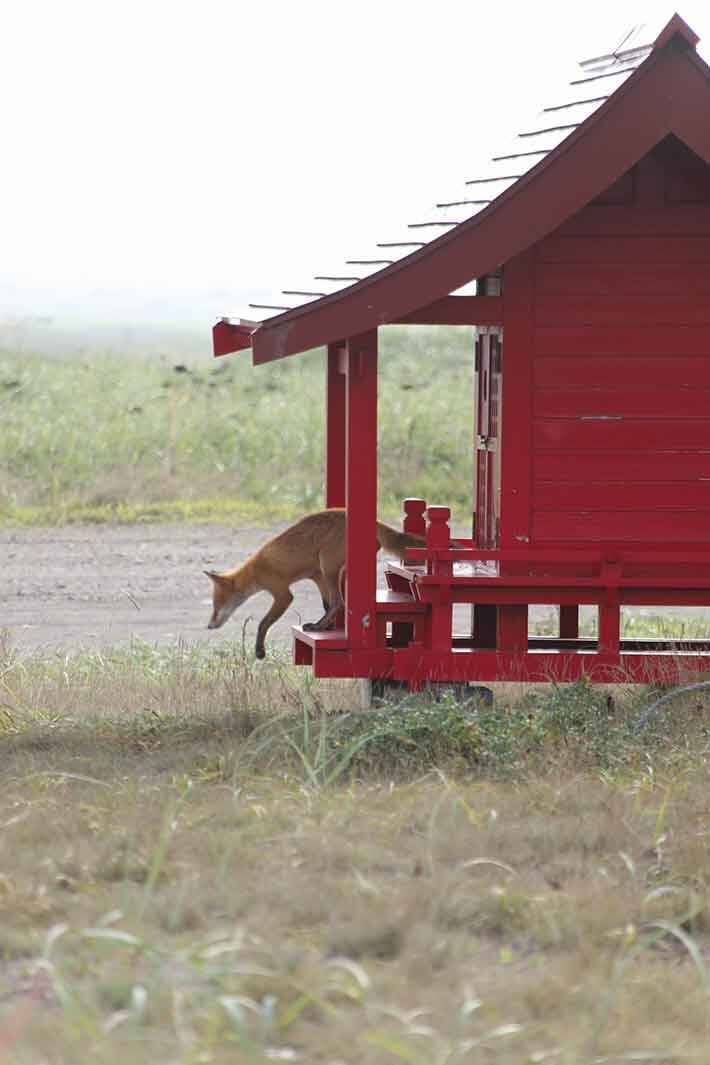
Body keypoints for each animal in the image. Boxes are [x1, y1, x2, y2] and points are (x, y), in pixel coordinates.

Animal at [205, 506, 427, 656]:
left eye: (216, 605)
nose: (208, 626)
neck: (255, 570)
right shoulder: (316, 576)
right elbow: (326, 605)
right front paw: (327, 627)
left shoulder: (282, 593)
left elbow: (263, 623)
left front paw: (259, 651)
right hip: (326, 571)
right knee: (337, 602)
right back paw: (320, 626)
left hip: (327, 564)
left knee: (340, 602)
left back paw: (317, 627)